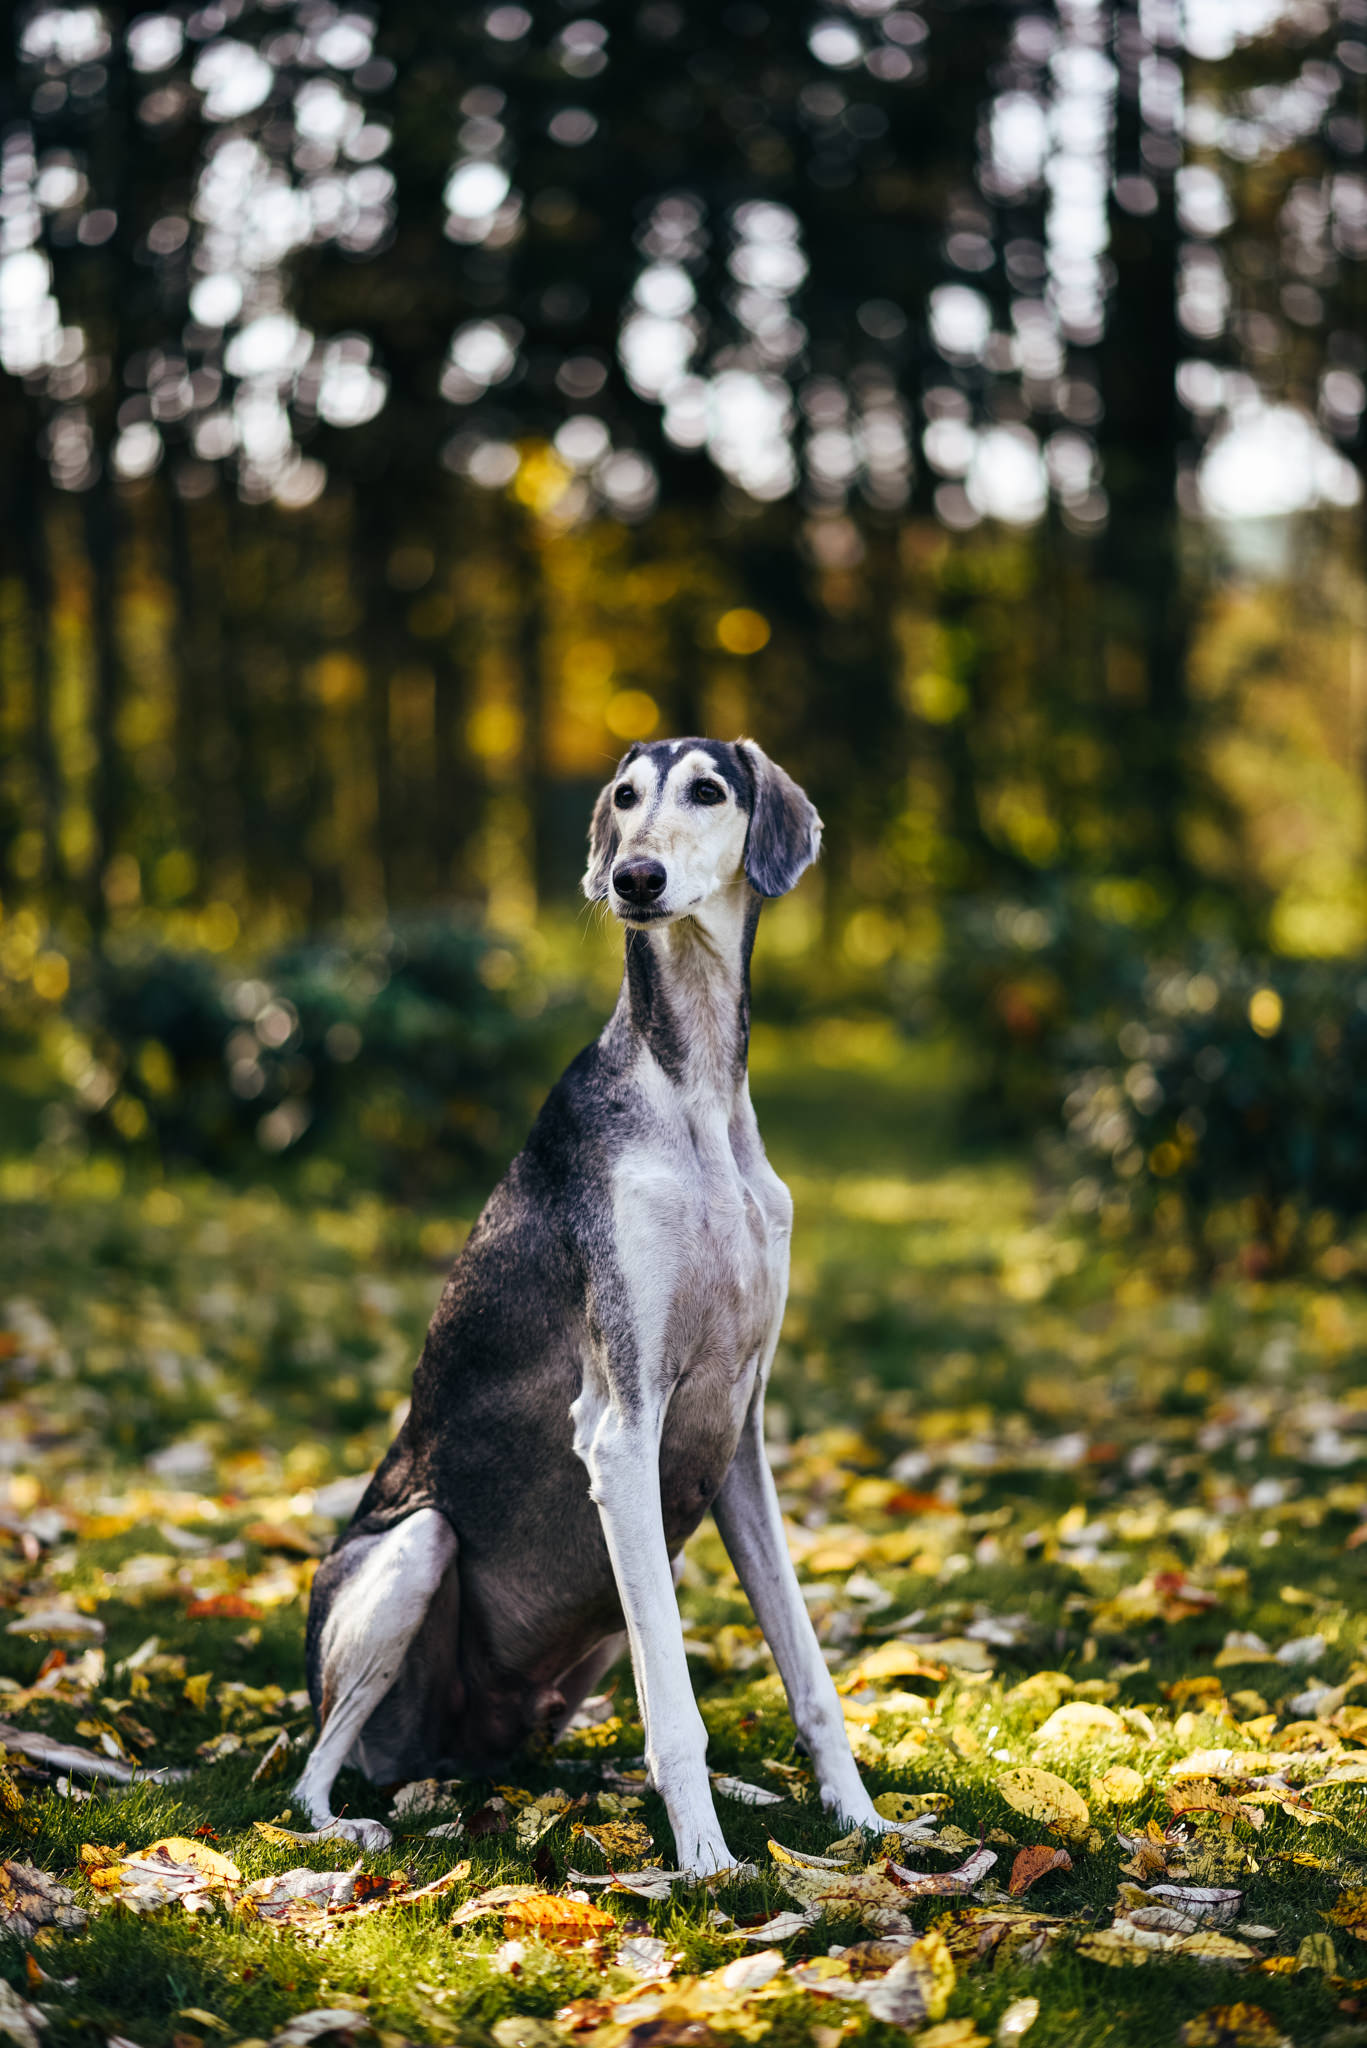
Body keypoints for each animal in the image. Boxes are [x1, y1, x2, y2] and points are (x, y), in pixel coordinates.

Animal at [295, 737, 881, 1875]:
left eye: (708, 789)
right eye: (622, 797)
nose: (633, 879)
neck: (691, 1092)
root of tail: (453, 1758)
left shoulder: (740, 1435)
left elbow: (807, 1669)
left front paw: (867, 1822)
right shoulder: (621, 1426)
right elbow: (678, 1711)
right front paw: (707, 1867)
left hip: (597, 1625)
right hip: (417, 1550)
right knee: (309, 1771)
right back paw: (346, 1819)